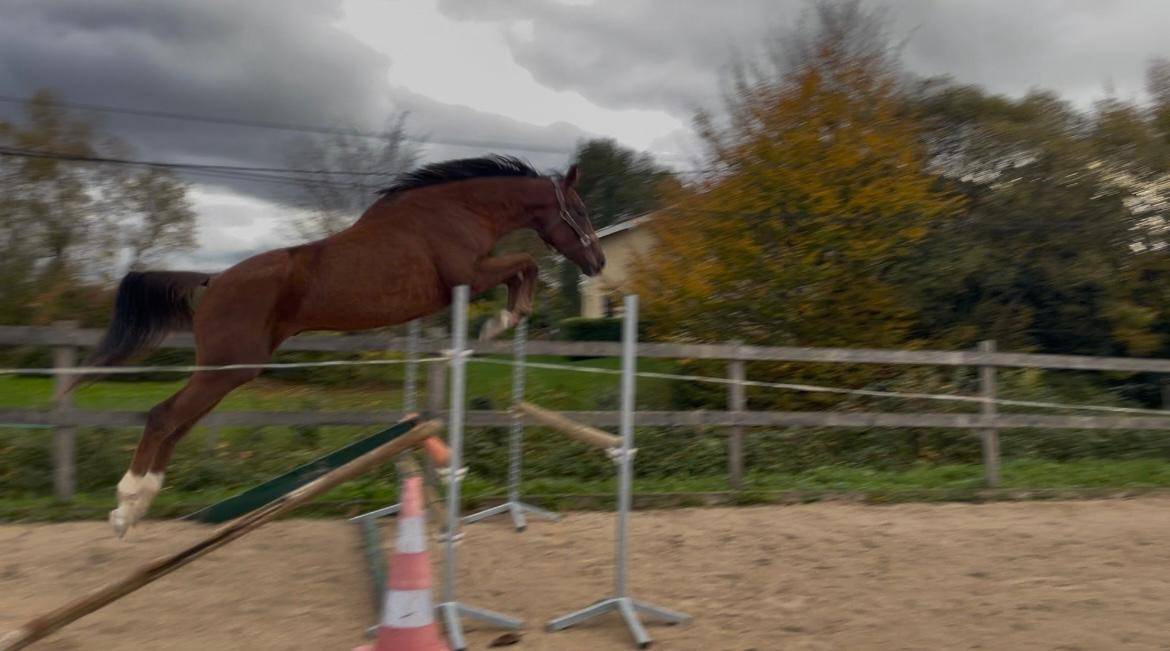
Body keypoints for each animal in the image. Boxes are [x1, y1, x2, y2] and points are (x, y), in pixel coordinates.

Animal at [81, 155, 605, 537]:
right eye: (579, 211)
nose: (598, 262)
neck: (459, 210)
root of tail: (213, 280)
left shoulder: (470, 279)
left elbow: (522, 270)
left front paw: (503, 321)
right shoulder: (469, 277)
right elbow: (524, 267)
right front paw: (500, 323)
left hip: (227, 372)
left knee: (177, 424)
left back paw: (137, 506)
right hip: (228, 369)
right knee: (164, 417)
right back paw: (125, 509)